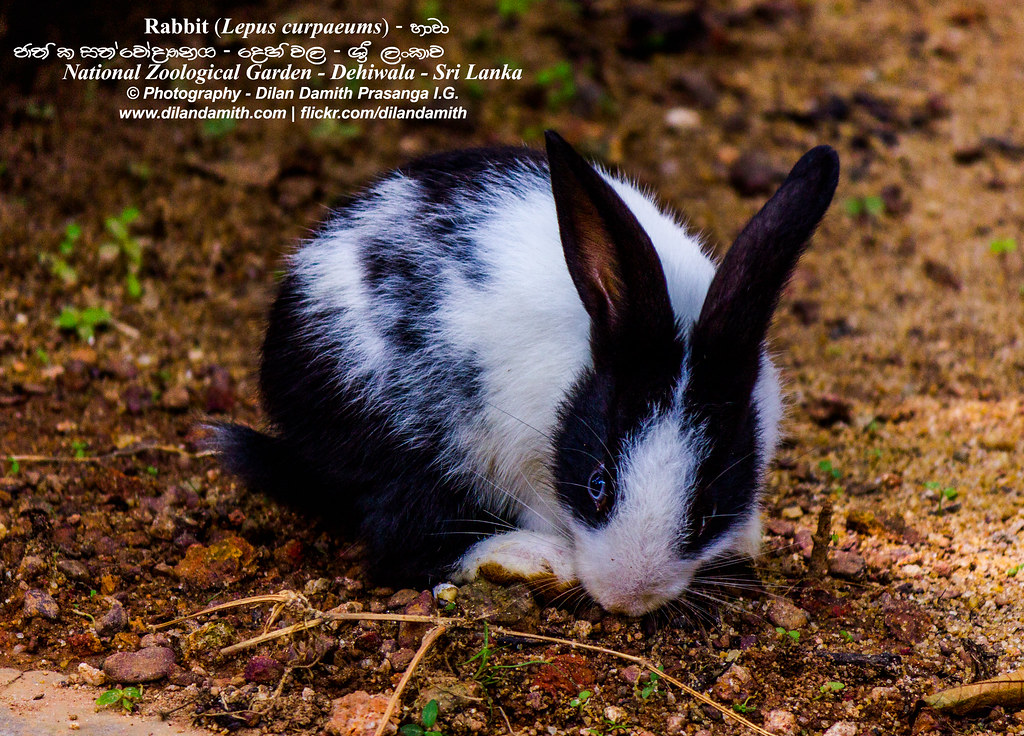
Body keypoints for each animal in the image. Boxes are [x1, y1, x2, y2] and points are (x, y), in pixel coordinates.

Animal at [214, 131, 839, 616]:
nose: (625, 600)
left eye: (707, 509)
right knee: (405, 544)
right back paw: (529, 559)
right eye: (597, 485)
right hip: (401, 443)